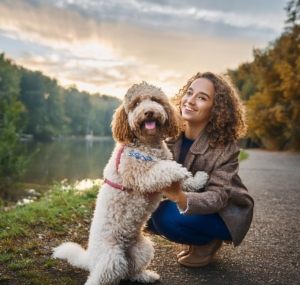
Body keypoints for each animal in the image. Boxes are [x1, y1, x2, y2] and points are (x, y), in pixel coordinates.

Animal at [52, 81, 209, 284]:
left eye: (155, 100)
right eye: (135, 104)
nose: (149, 112)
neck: (148, 144)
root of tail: (90, 259)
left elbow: (182, 179)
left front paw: (198, 179)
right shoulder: (141, 175)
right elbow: (165, 168)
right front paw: (181, 171)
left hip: (143, 248)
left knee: (131, 271)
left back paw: (147, 275)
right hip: (111, 257)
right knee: (103, 276)